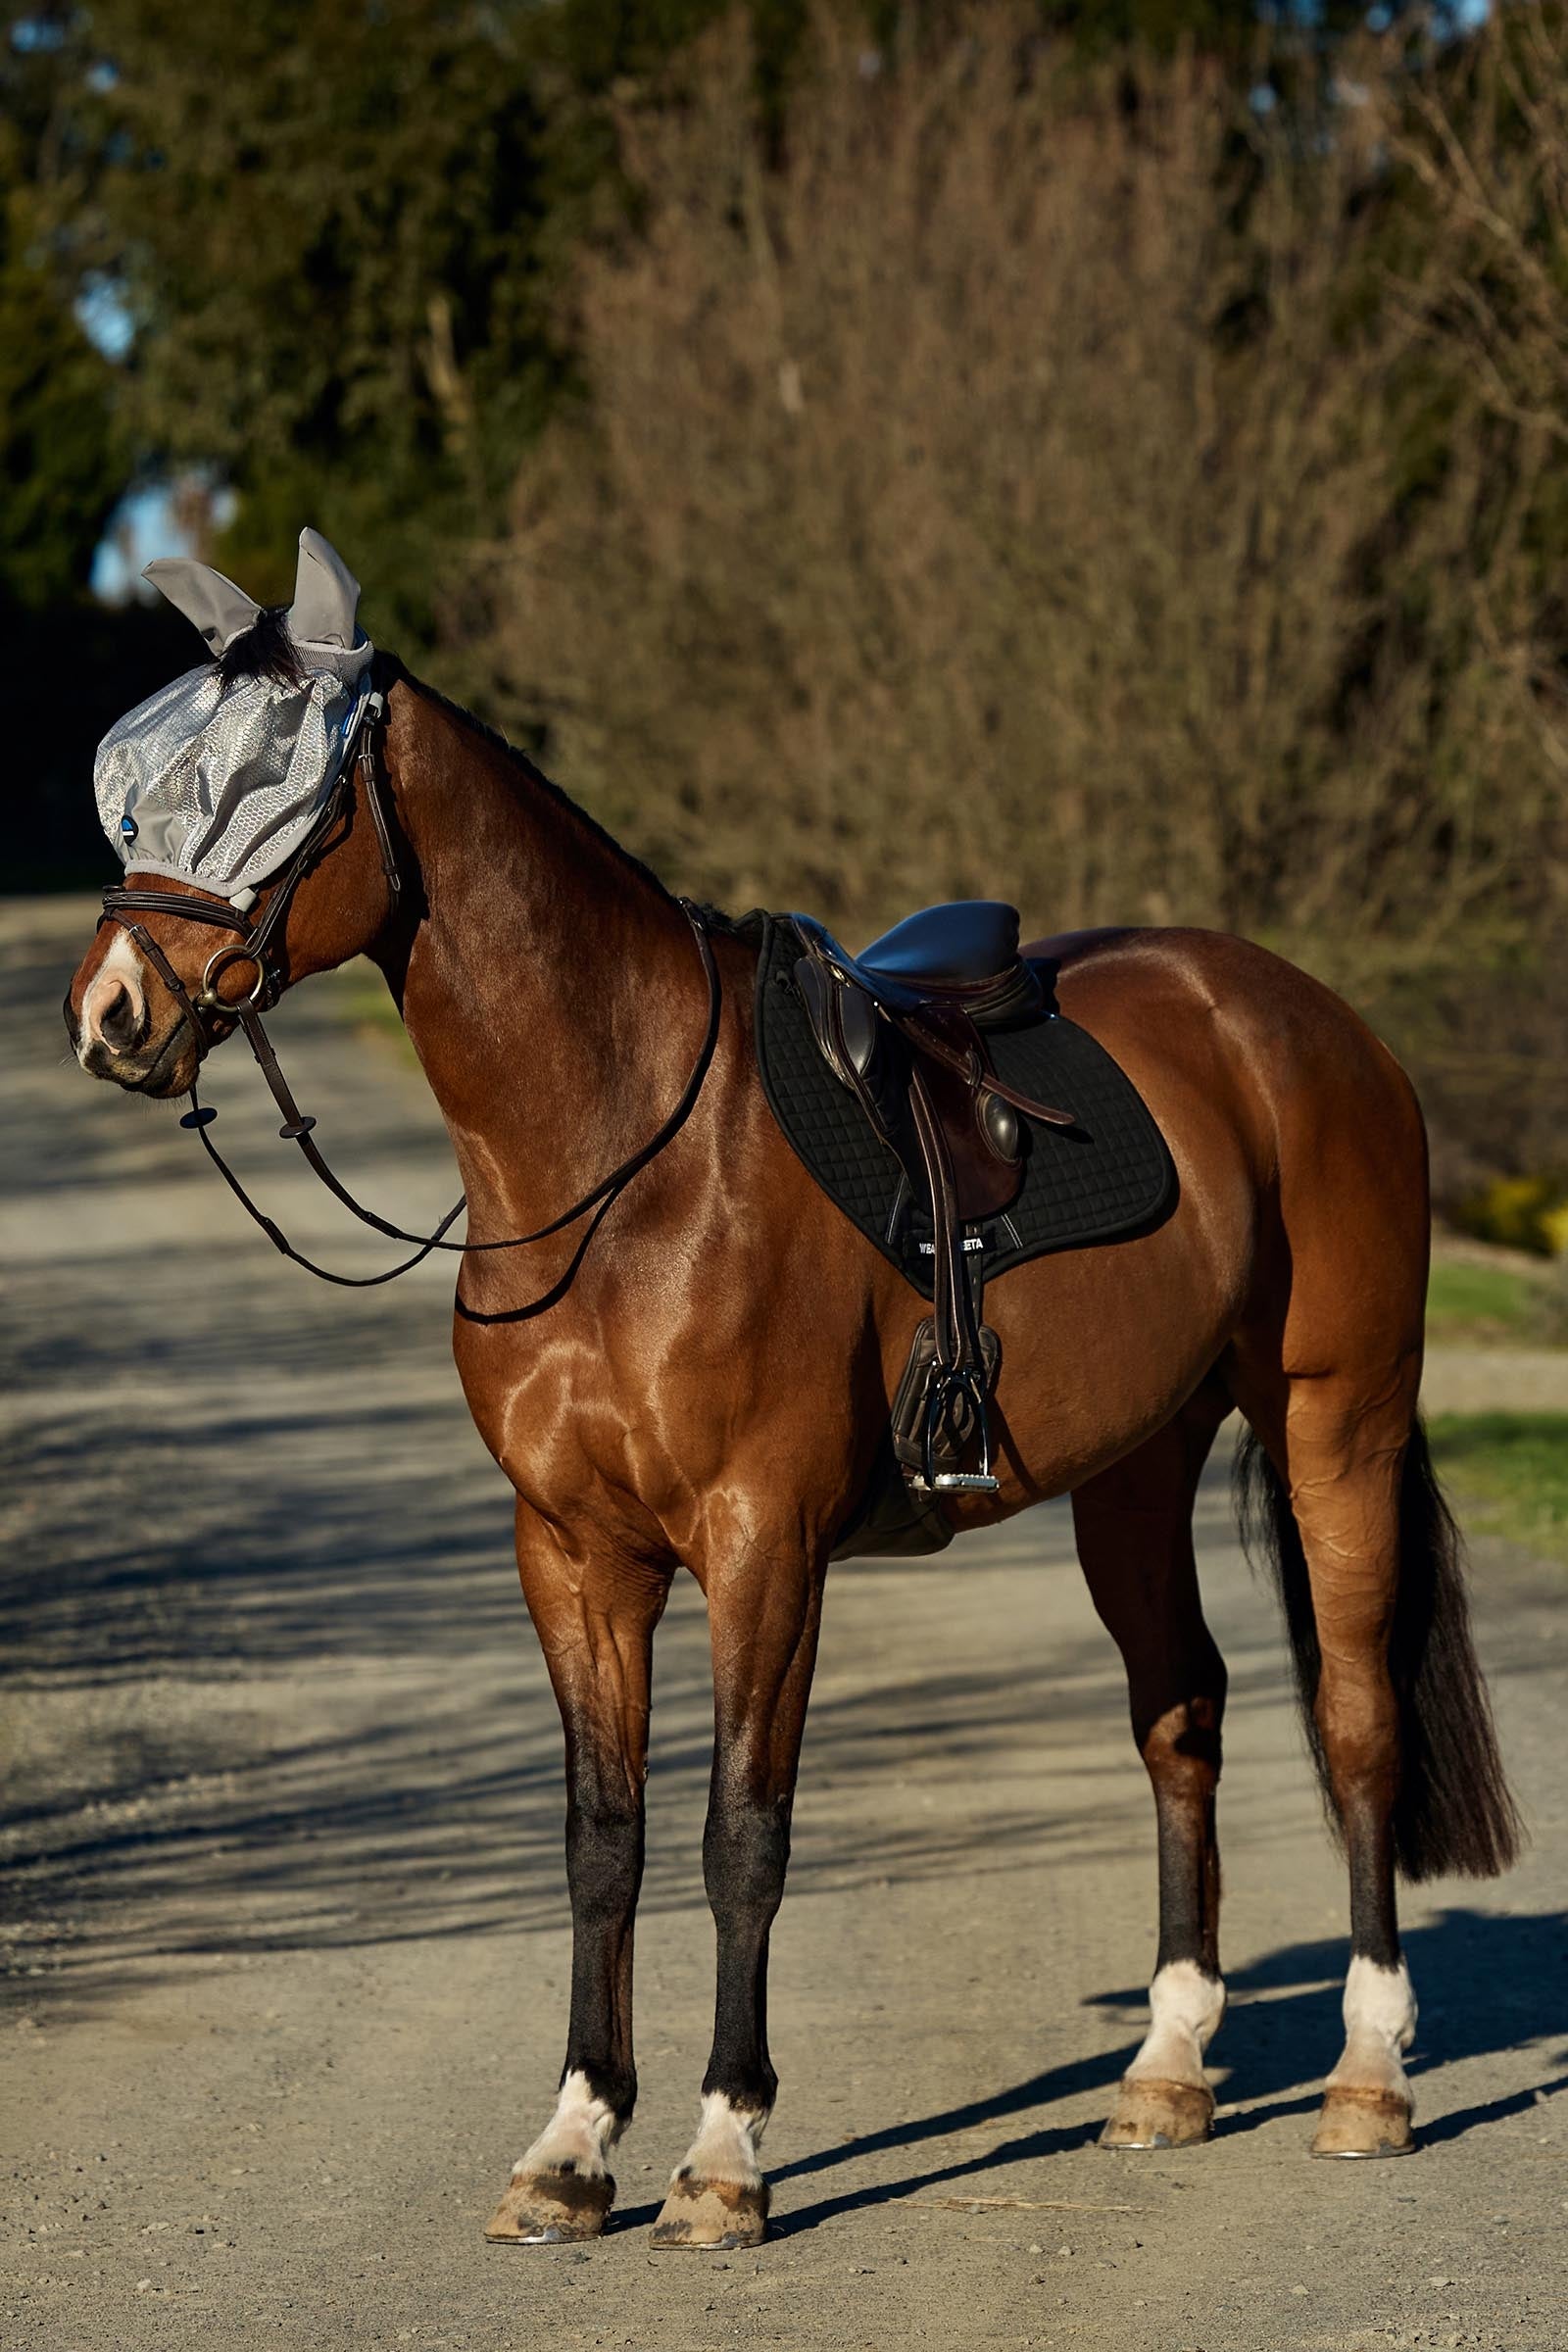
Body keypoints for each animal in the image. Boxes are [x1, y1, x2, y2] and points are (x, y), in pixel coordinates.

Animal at [65, 622, 1519, 2250]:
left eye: (268, 786)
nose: (110, 1013)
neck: (624, 1160)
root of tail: (1312, 1023)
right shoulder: (573, 1557)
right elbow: (604, 1840)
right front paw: (572, 2147)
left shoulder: (764, 1546)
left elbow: (739, 1835)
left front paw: (723, 2154)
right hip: (1135, 1474)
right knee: (1181, 1714)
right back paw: (1165, 2069)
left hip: (1339, 1422)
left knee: (1358, 1722)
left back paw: (1368, 2078)